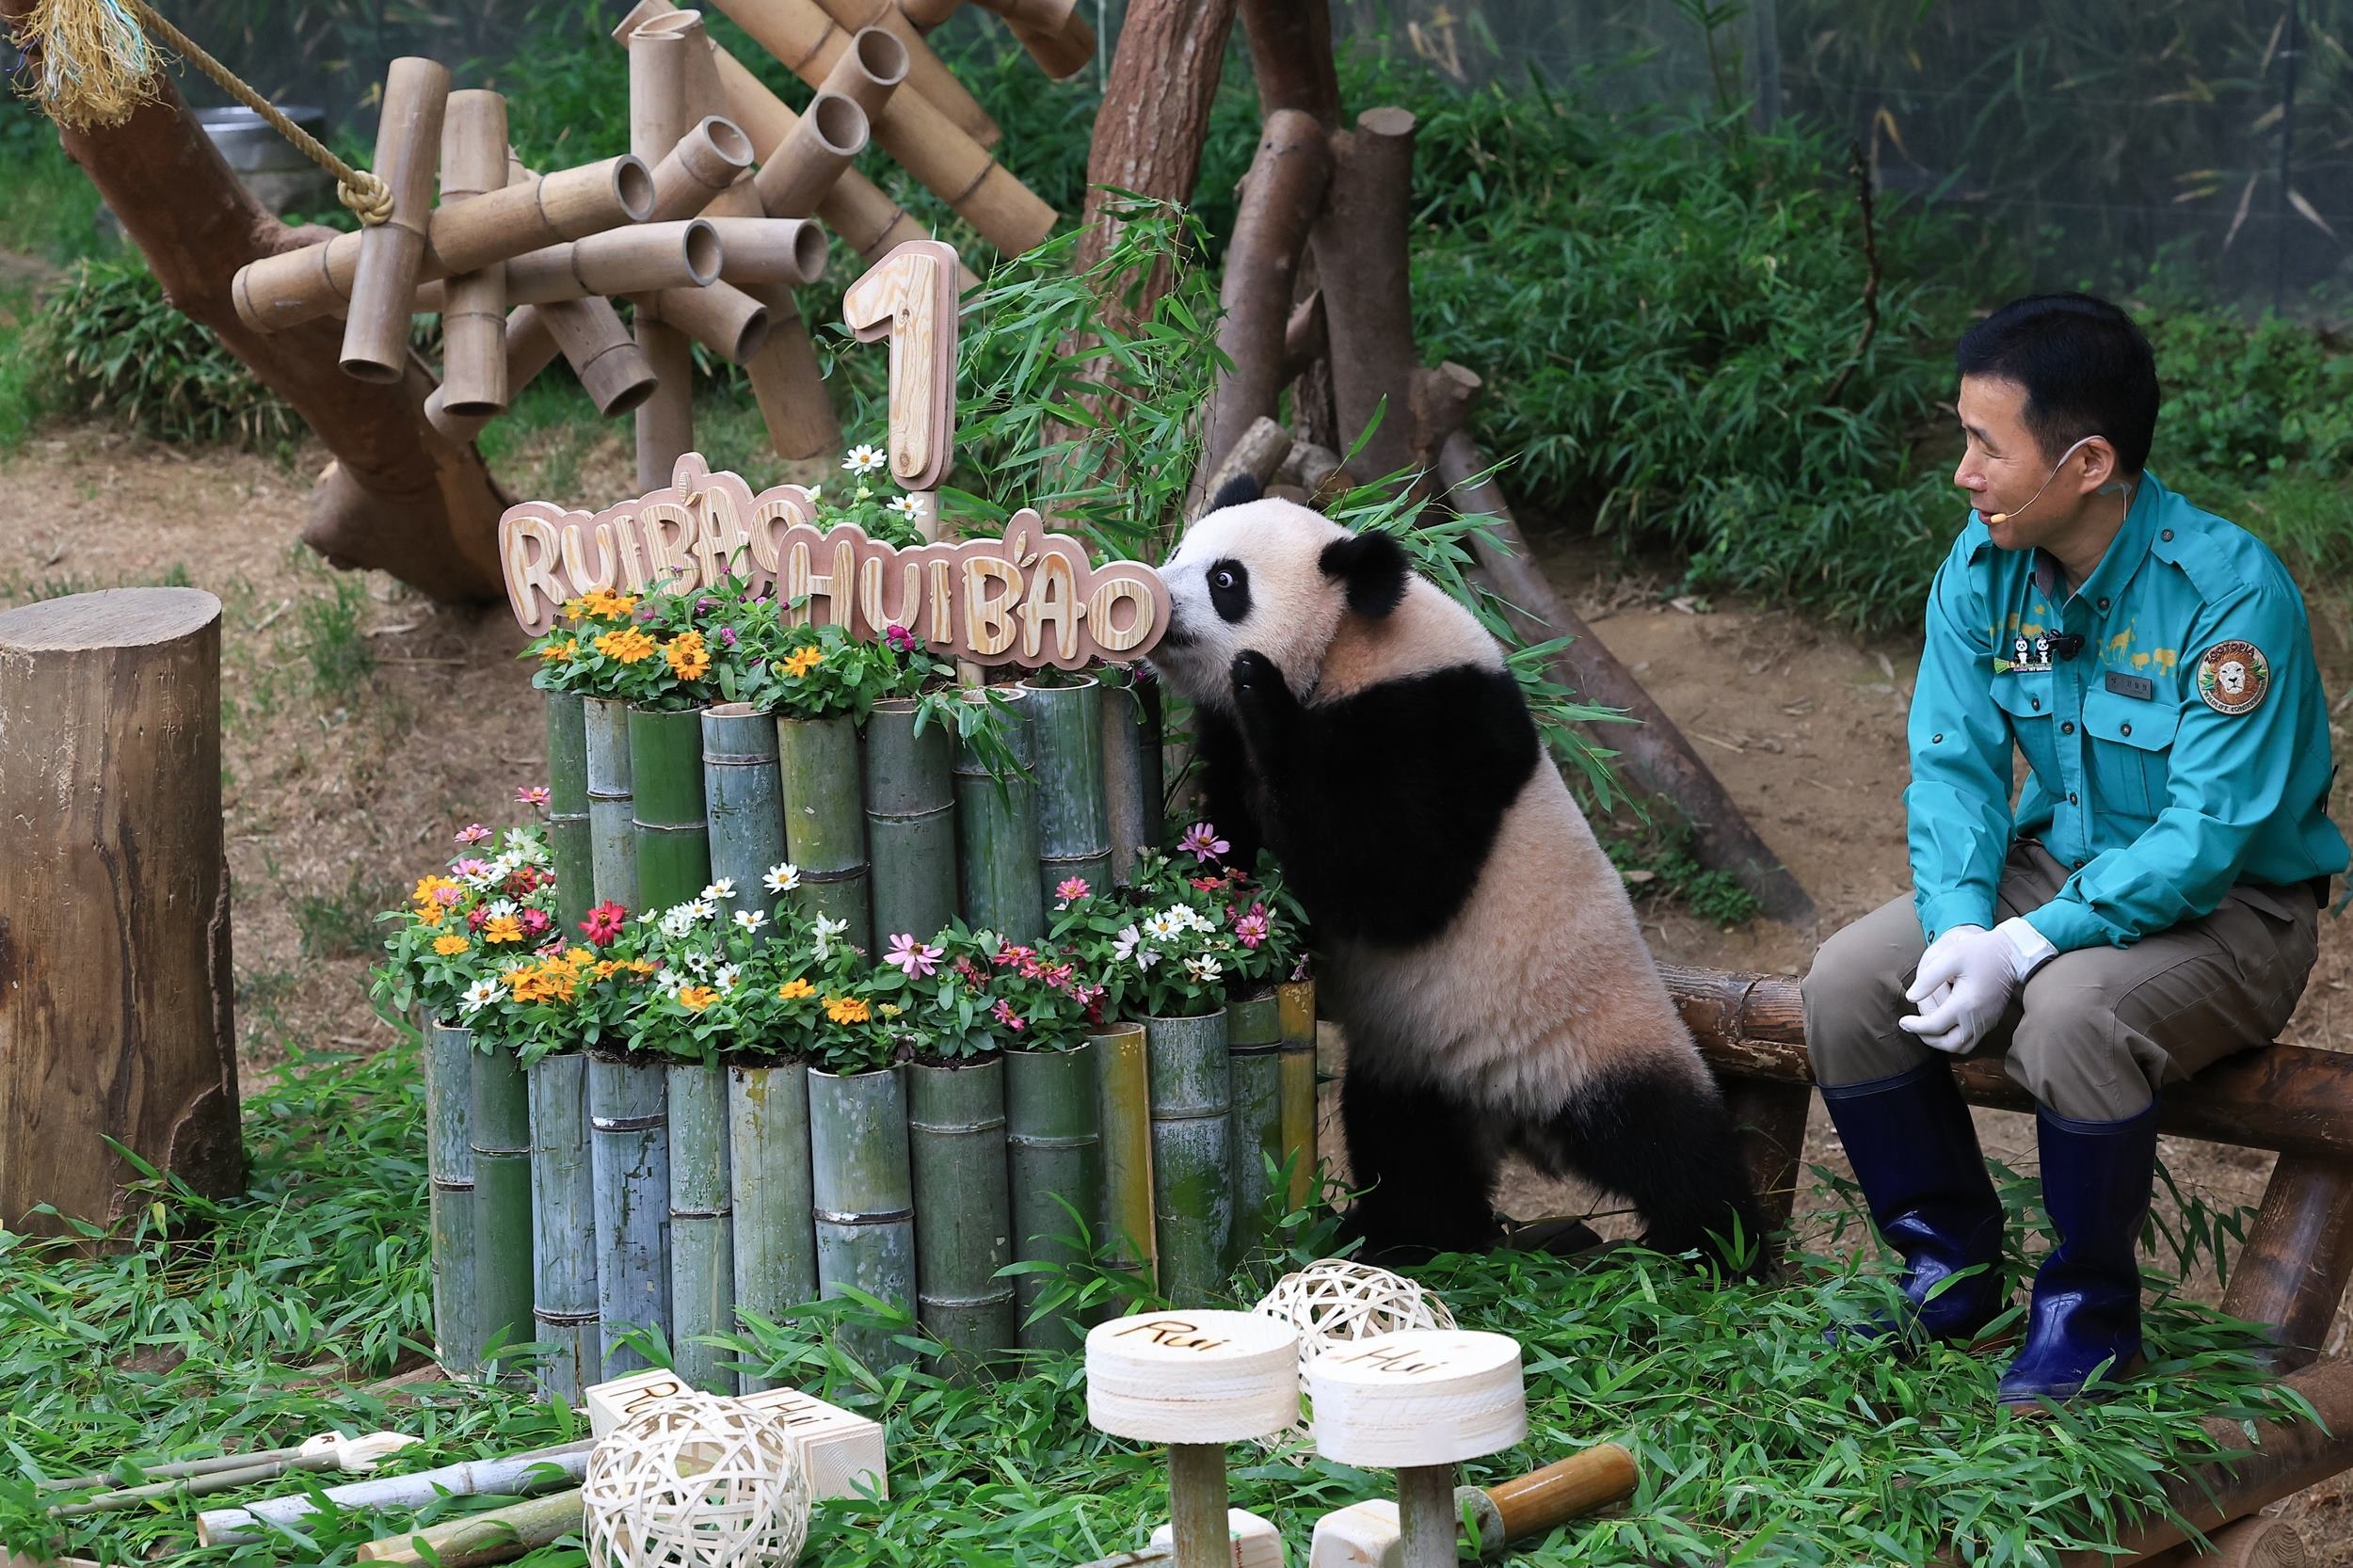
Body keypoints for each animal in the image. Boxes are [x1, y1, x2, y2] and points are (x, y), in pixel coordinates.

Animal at [1148, 482, 1760, 1280]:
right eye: (1179, 550)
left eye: (1225, 579)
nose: (1156, 595)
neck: (1352, 642)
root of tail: (1518, 1116)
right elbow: (1233, 838)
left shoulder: (1436, 724)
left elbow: (1398, 887)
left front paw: (1262, 692)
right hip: (1421, 1066)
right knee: (1408, 1150)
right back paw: (1414, 1237)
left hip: (1599, 1033)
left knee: (1671, 1143)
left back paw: (1722, 1252)